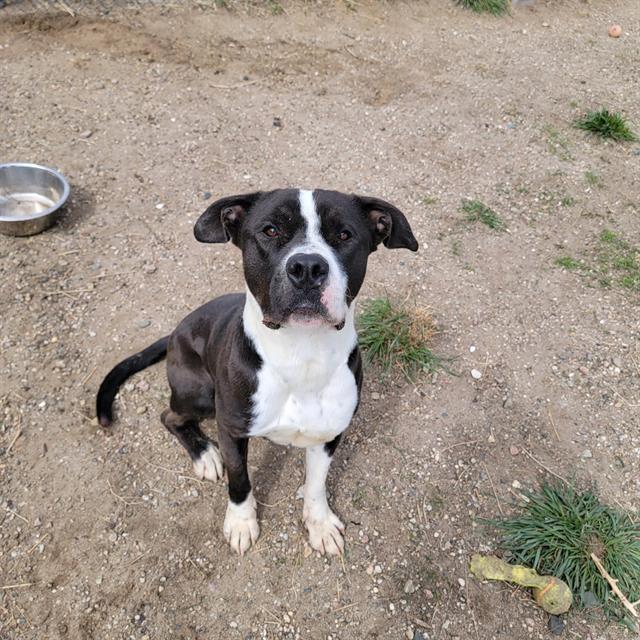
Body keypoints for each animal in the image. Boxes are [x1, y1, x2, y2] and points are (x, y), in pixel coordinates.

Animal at [94, 190, 416, 556]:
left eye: (345, 235)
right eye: (270, 230)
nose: (307, 268)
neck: (300, 354)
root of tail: (175, 331)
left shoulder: (330, 433)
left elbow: (316, 483)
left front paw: (319, 523)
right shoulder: (230, 429)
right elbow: (239, 480)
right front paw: (240, 522)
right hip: (200, 393)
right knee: (169, 416)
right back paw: (205, 455)